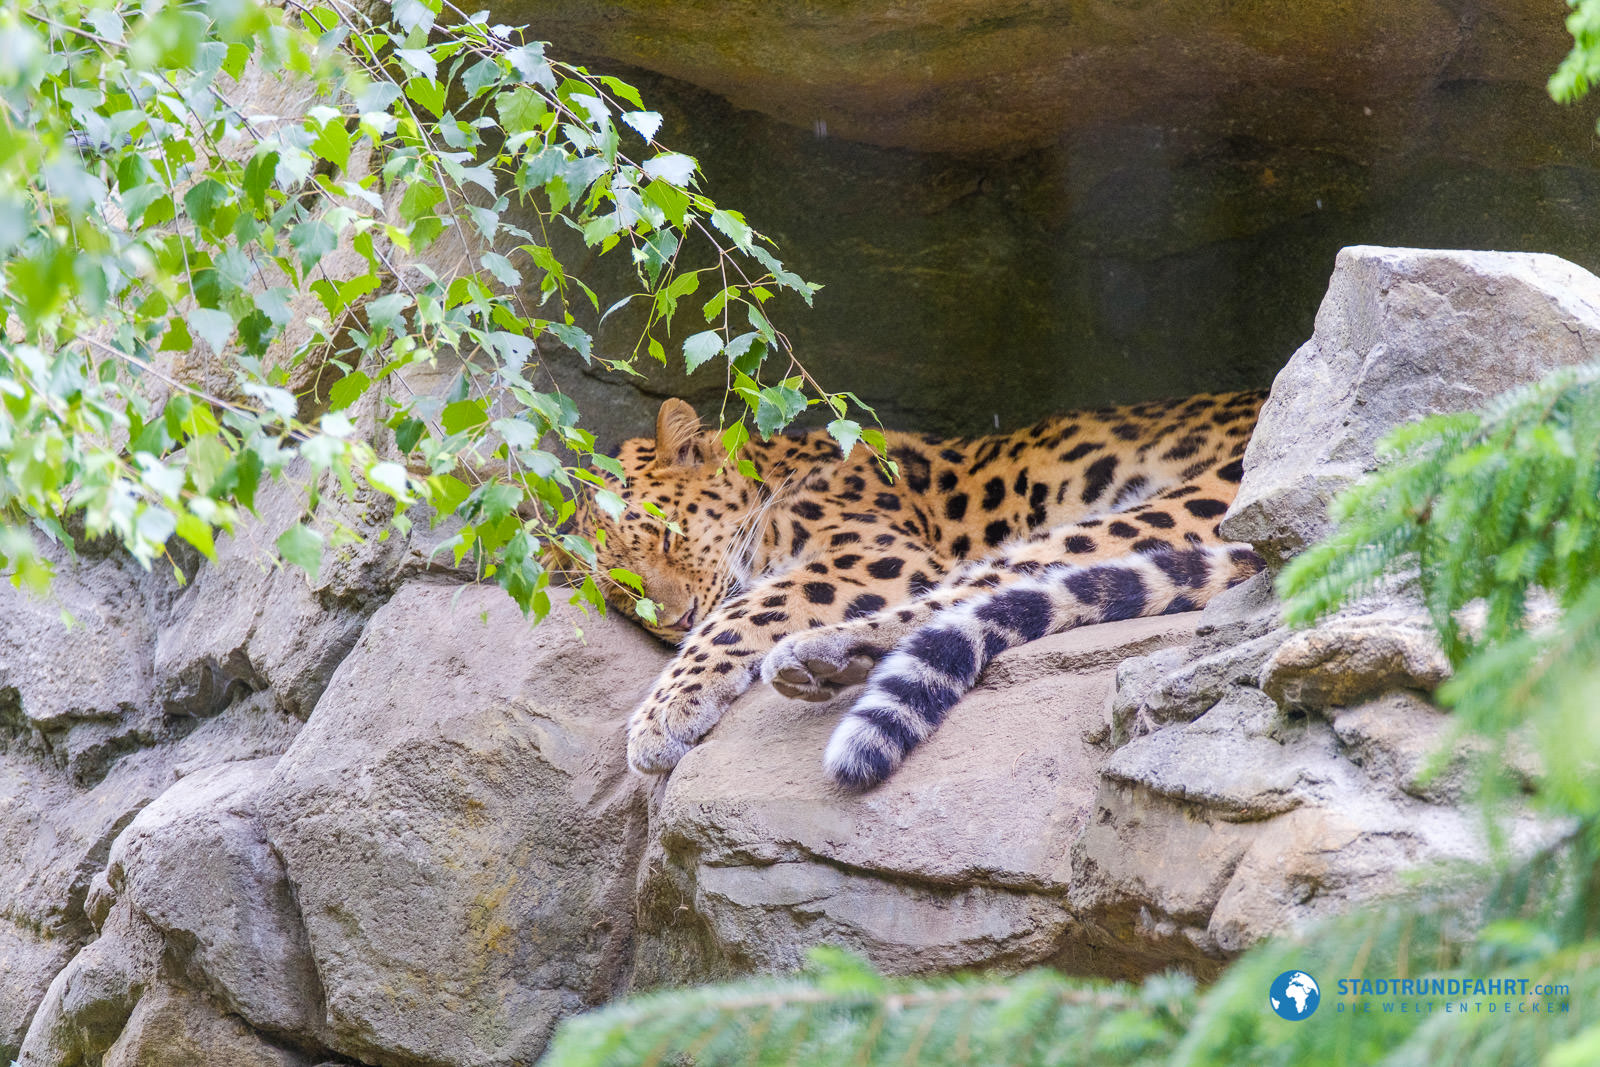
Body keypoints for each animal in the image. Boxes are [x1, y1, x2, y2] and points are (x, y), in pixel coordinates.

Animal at [582, 388, 1267, 790]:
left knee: (996, 583)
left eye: (666, 536)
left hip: (1189, 499)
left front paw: (663, 711)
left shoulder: (877, 553)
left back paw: (824, 654)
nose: (672, 619)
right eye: (620, 595)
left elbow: (754, 603)